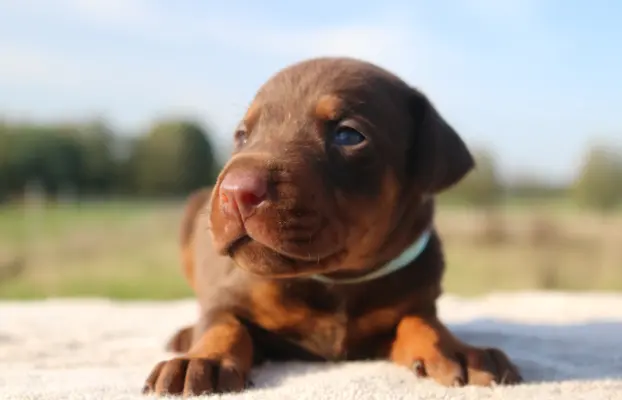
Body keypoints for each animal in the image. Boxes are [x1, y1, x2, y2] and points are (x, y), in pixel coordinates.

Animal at [144, 56, 524, 396]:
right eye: (242, 135)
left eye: (348, 135)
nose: (235, 193)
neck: (336, 281)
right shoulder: (229, 294)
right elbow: (222, 323)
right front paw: (201, 359)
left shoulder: (415, 302)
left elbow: (422, 322)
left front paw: (456, 349)